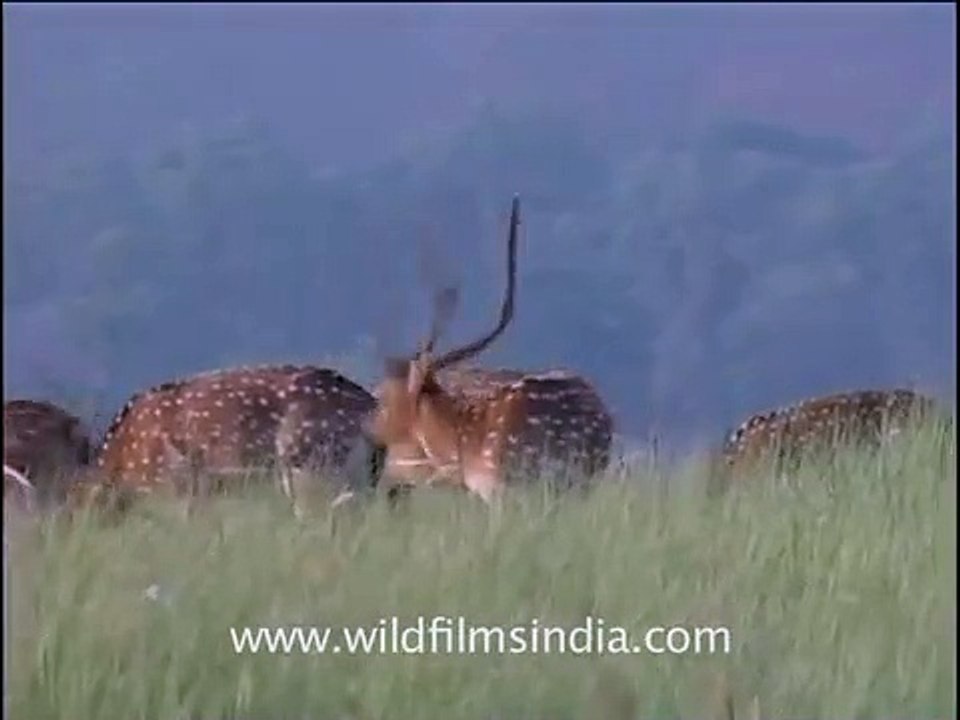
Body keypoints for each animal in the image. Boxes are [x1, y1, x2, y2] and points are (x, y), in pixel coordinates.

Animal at [353, 196, 614, 505]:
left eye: (384, 396)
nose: (366, 426)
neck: (457, 442)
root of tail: (602, 415)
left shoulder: (497, 486)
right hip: (582, 478)